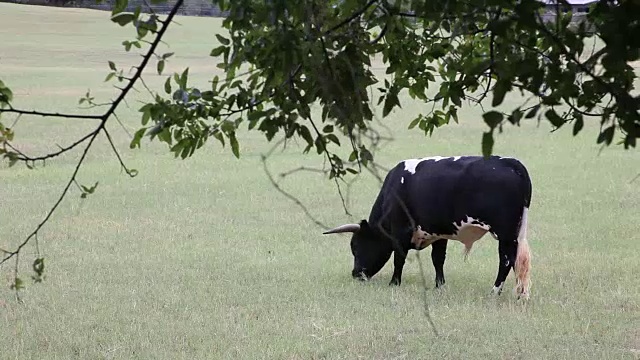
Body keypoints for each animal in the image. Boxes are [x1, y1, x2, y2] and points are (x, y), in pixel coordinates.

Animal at [322, 155, 532, 298]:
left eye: (356, 246)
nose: (356, 274)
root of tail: (510, 162)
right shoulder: (439, 234)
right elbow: (438, 259)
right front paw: (439, 285)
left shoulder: (401, 231)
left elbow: (399, 258)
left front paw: (394, 283)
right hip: (515, 234)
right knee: (518, 261)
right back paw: (520, 293)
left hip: (505, 234)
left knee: (506, 260)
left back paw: (494, 291)